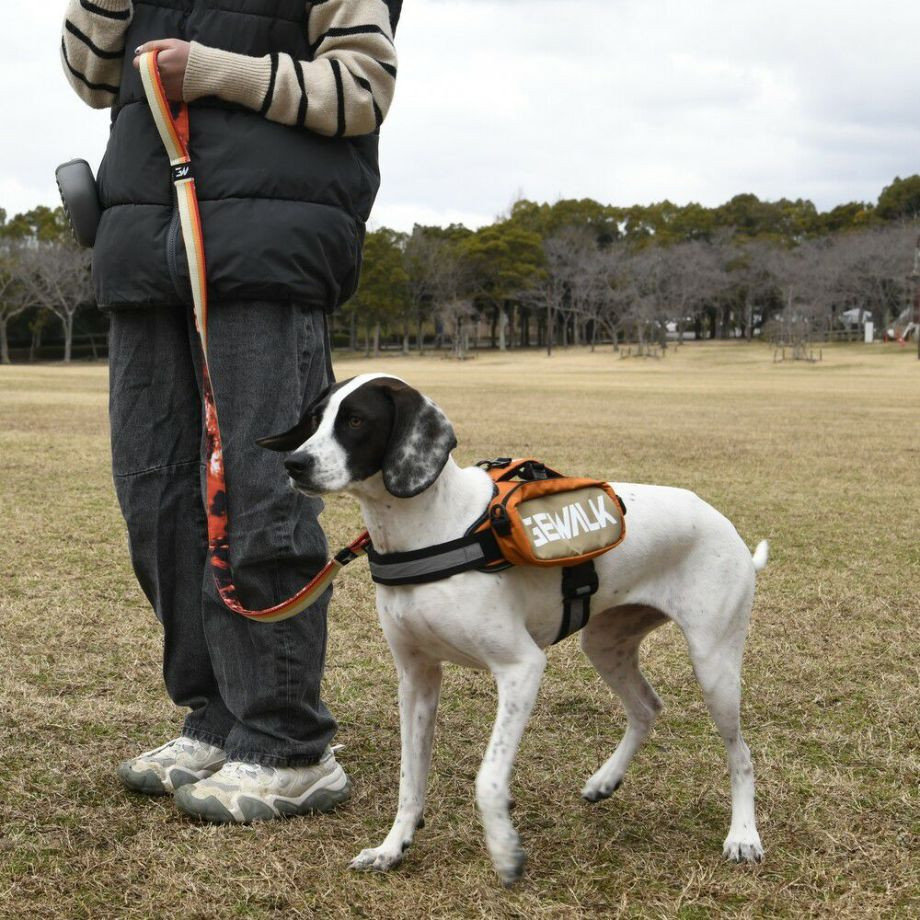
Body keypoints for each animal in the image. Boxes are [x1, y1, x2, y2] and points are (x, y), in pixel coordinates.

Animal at [255, 374, 764, 884]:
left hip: (713, 666)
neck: (431, 529)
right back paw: (606, 779)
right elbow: (410, 779)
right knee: (646, 707)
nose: (294, 463)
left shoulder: (521, 668)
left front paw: (504, 849)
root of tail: (723, 523)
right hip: (604, 643)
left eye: (357, 420)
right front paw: (392, 846)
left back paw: (743, 836)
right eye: (314, 419)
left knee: (740, 755)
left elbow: (488, 778)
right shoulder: (416, 677)